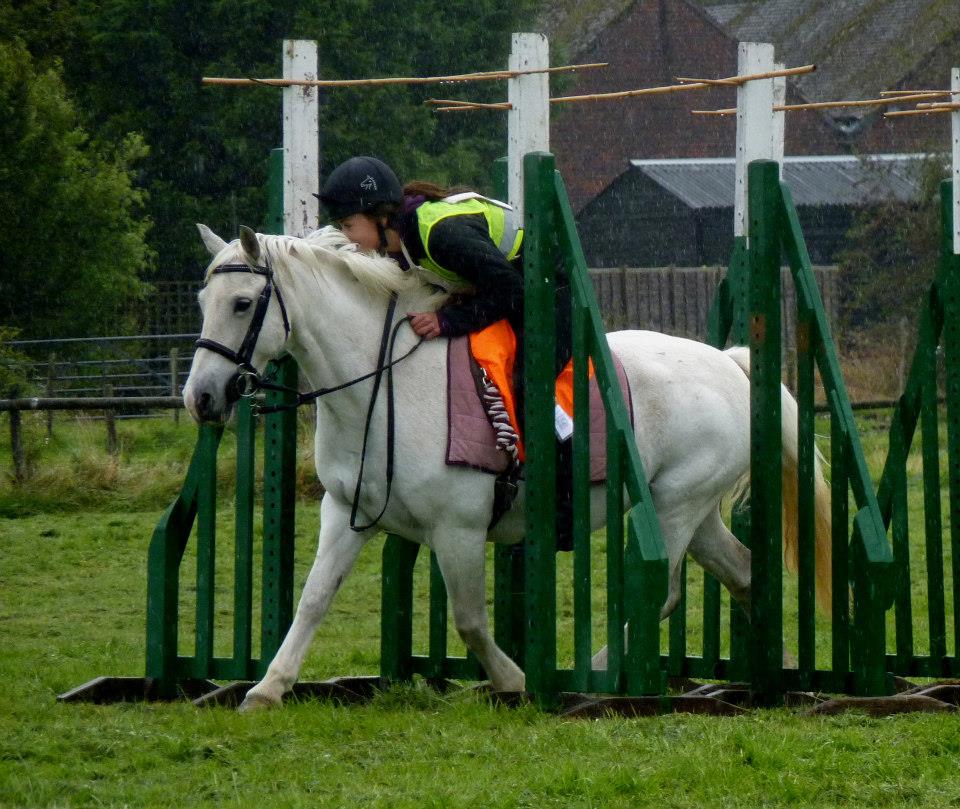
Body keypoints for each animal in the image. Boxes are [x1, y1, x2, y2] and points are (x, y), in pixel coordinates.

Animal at [182, 223, 832, 710]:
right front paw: (267, 689)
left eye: (242, 304)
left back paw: (588, 677)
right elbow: (313, 599)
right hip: (693, 512)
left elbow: (470, 619)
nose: (201, 399)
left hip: (675, 508)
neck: (384, 383)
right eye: (202, 304)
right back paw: (779, 674)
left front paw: (514, 681)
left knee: (659, 591)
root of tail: (732, 366)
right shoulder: (346, 513)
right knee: (741, 572)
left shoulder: (458, 529)